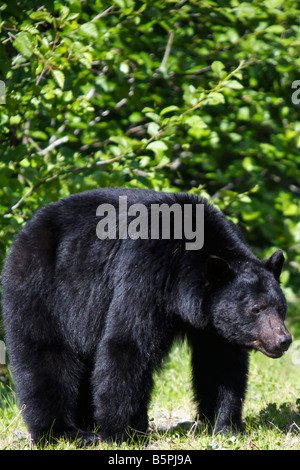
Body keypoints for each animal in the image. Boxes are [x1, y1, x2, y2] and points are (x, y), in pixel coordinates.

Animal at [1, 187, 290, 444]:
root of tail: (28, 228)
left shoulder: (212, 320)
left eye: (281, 307)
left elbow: (220, 363)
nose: (283, 340)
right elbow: (128, 343)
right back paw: (63, 432)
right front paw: (124, 433)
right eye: (256, 308)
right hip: (43, 286)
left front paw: (226, 426)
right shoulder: (146, 270)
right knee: (45, 355)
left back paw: (86, 423)